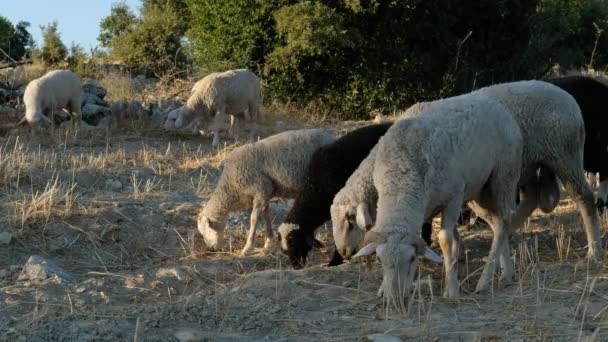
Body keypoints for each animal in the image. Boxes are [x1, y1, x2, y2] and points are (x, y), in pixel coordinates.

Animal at [197, 129, 338, 256]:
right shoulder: (265, 194)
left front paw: (247, 248)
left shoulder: (260, 190)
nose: (211, 249)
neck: (231, 188)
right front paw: (268, 242)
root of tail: (334, 137)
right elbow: (266, 216)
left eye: (205, 231)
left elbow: (253, 219)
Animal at [354, 93, 524, 300]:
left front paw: (451, 289)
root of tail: (498, 107)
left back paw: (486, 280)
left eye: (412, 259)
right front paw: (383, 288)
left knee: (505, 220)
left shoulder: (454, 197)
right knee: (498, 224)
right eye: (380, 259)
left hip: (504, 176)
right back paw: (507, 273)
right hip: (478, 190)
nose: (395, 297)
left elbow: (445, 239)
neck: (401, 173)